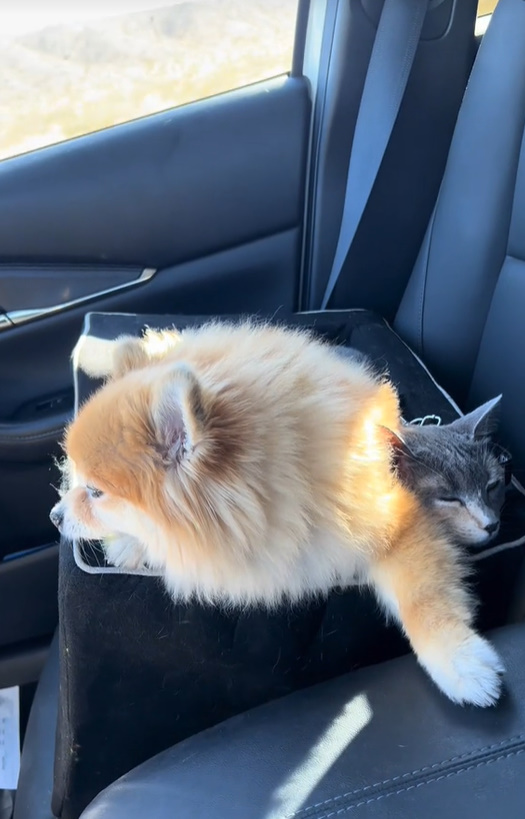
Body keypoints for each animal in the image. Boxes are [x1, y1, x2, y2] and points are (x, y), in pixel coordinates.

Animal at [50, 324, 504, 708]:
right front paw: (133, 544)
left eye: (95, 492)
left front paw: (462, 664)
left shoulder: (400, 522)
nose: (54, 516)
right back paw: (95, 349)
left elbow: (422, 598)